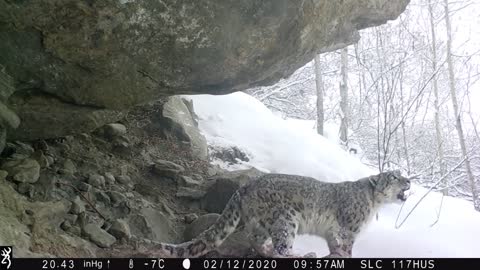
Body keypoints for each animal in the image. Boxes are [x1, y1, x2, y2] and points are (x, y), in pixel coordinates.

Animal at [153, 171, 408, 258]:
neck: (375, 204)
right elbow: (346, 248)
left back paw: (266, 250)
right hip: (286, 220)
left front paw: (334, 253)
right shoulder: (349, 230)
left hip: (264, 223)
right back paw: (297, 254)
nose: (409, 181)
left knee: (255, 239)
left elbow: (334, 245)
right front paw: (344, 255)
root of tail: (245, 186)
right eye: (394, 176)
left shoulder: (332, 232)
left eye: (401, 174)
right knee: (281, 248)